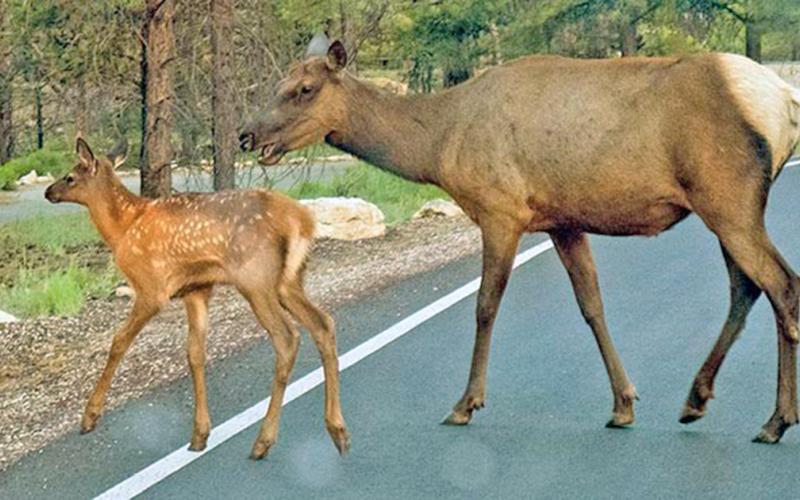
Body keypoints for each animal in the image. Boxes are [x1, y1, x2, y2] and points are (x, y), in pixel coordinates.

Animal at [44, 138, 350, 459]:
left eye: (70, 177)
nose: (48, 191)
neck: (123, 227)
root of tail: (302, 220)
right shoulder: (196, 289)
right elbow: (195, 354)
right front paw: (200, 433)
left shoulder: (152, 288)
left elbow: (119, 342)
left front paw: (89, 416)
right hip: (288, 282)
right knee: (323, 323)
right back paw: (338, 432)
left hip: (256, 280)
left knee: (287, 337)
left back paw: (263, 441)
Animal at [240, 35, 800, 444]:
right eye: (279, 82)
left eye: (304, 88)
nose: (247, 135)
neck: (438, 146)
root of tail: (783, 102)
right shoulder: (561, 220)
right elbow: (591, 304)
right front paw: (623, 403)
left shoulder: (500, 210)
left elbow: (486, 306)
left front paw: (465, 403)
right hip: (725, 205)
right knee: (747, 287)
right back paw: (697, 400)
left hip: (727, 198)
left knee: (781, 284)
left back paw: (775, 421)